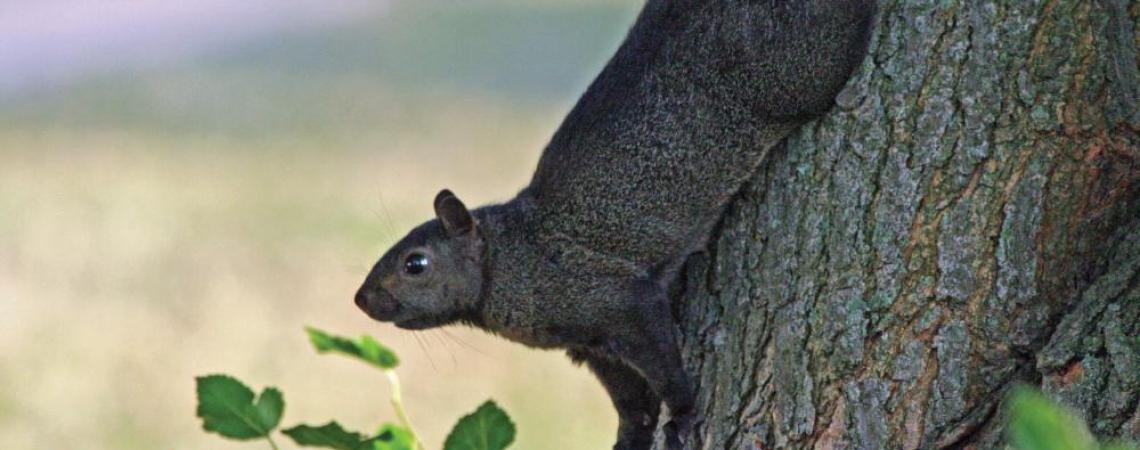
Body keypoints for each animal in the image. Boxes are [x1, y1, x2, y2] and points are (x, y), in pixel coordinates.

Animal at [355, 1, 876, 449]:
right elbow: (632, 403)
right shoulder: (592, 347)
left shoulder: (620, 302)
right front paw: (632, 438)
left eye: (415, 264)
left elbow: (663, 368)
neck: (514, 259)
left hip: (803, 67)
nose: (361, 300)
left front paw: (683, 414)